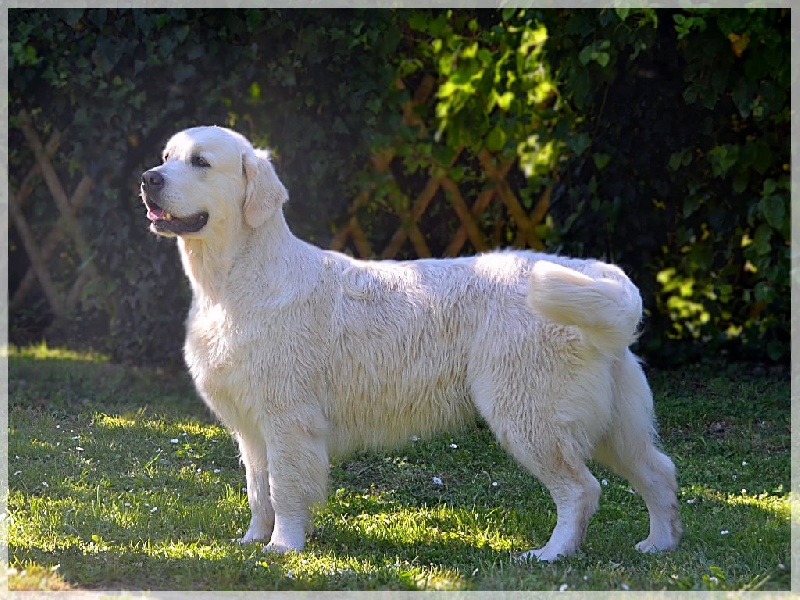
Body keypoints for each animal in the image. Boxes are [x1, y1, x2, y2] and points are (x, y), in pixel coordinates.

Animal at [142, 126, 680, 564]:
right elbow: (259, 492)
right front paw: (253, 541)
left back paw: (552, 554)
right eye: (167, 155)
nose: (148, 178)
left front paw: (283, 547)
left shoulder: (288, 419)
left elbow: (286, 489)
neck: (233, 281)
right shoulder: (251, 429)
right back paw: (659, 544)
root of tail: (595, 271)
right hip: (615, 423)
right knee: (659, 472)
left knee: (581, 490)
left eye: (200, 162)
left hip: (529, 413)